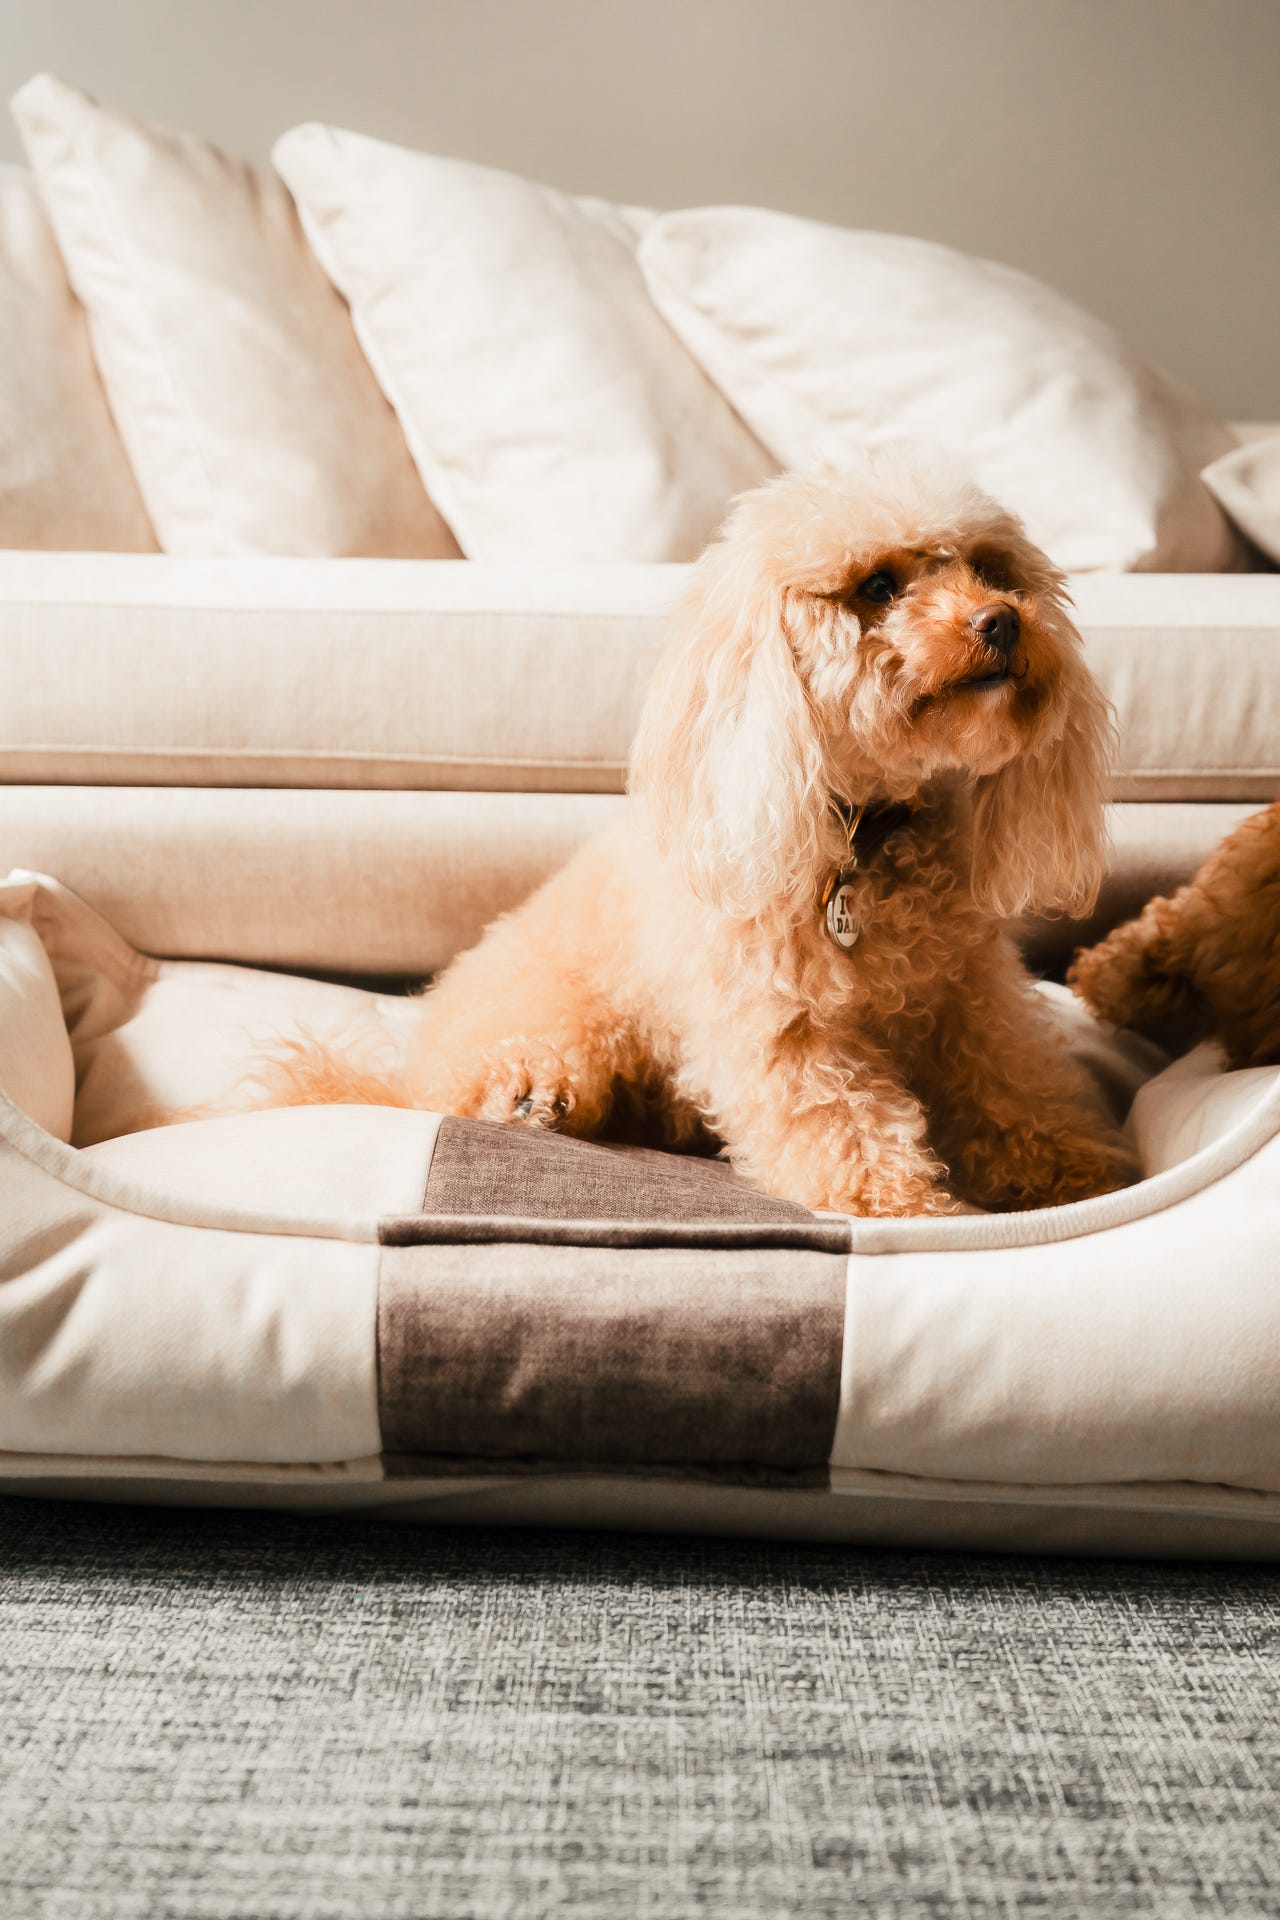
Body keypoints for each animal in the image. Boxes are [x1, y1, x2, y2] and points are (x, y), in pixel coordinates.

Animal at [277, 453, 1137, 1216]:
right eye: (878, 585)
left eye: (993, 571)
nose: (1002, 622)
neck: (864, 830)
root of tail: (404, 1074)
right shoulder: (780, 1020)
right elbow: (842, 1121)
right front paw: (905, 1208)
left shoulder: (969, 993)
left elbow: (1013, 1082)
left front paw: (1075, 1172)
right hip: (557, 1017)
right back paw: (531, 1097)